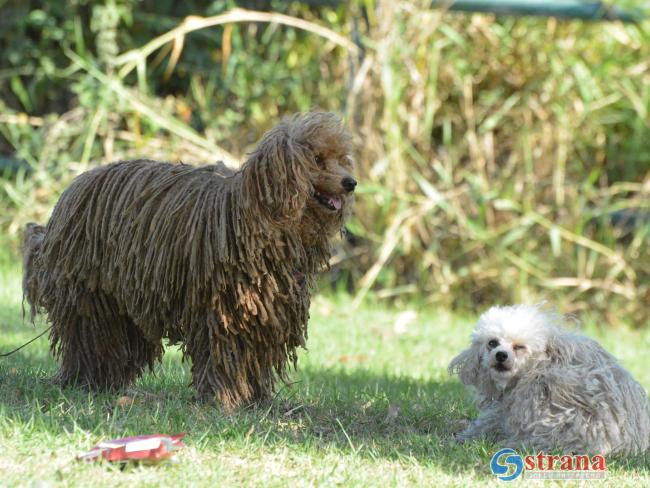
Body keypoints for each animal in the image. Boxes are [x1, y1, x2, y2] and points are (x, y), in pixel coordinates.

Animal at [21, 112, 354, 410]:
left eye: (341, 158)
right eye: (317, 159)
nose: (350, 182)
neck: (257, 218)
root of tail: (71, 191)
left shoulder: (265, 309)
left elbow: (254, 355)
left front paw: (256, 398)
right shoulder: (223, 311)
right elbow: (225, 353)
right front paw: (226, 398)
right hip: (90, 293)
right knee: (88, 335)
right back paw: (84, 381)